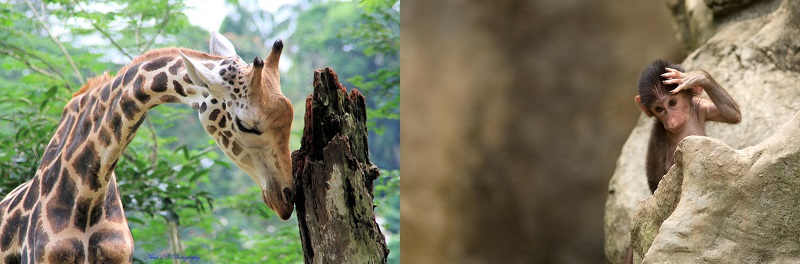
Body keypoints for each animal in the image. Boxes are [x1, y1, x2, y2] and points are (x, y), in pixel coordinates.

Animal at [636, 59, 740, 192]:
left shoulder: (700, 106)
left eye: (672, 102)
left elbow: (732, 115)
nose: (671, 121)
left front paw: (696, 76)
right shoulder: (659, 135)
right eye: (659, 109)